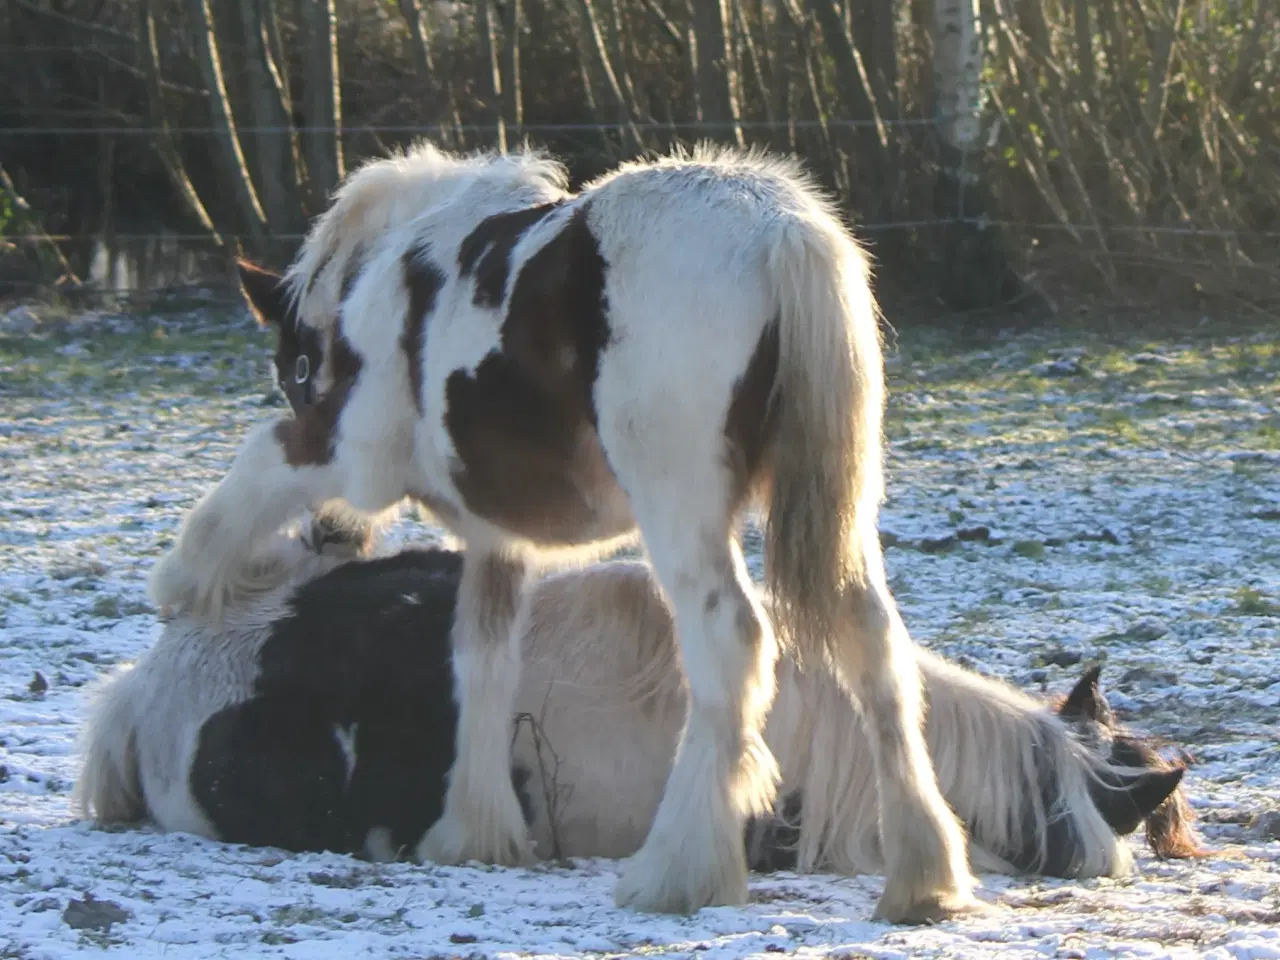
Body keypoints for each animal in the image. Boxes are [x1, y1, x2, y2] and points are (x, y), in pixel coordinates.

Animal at [147, 140, 967, 916]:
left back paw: (678, 872)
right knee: (874, 648)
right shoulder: (496, 542)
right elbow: (481, 664)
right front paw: (474, 834)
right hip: (838, 515)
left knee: (732, 645)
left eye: (294, 367)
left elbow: (259, 465)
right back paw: (923, 878)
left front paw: (187, 585)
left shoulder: (347, 450)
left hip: (682, 508)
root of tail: (781, 234)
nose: (333, 535)